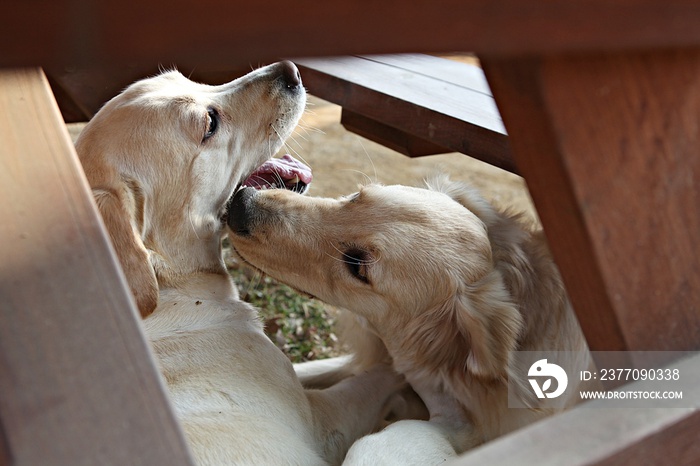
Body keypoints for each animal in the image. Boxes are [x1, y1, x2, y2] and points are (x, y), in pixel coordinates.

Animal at [74, 62, 402, 466]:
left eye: (185, 78)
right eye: (210, 123)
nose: (291, 70)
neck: (173, 285)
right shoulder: (323, 423)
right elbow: (379, 375)